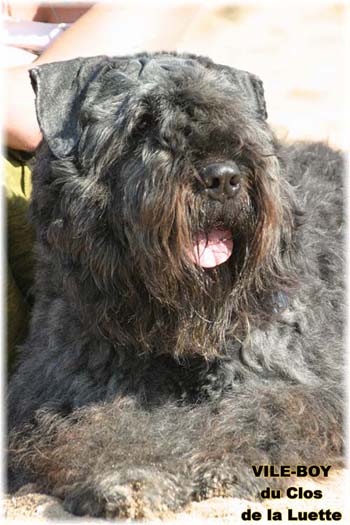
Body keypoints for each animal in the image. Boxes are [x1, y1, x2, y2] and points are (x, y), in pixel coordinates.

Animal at [8, 53, 344, 520]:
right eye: (142, 122)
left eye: (235, 116)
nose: (223, 177)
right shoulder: (65, 394)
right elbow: (106, 430)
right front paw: (130, 475)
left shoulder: (283, 387)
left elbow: (239, 420)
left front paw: (200, 465)